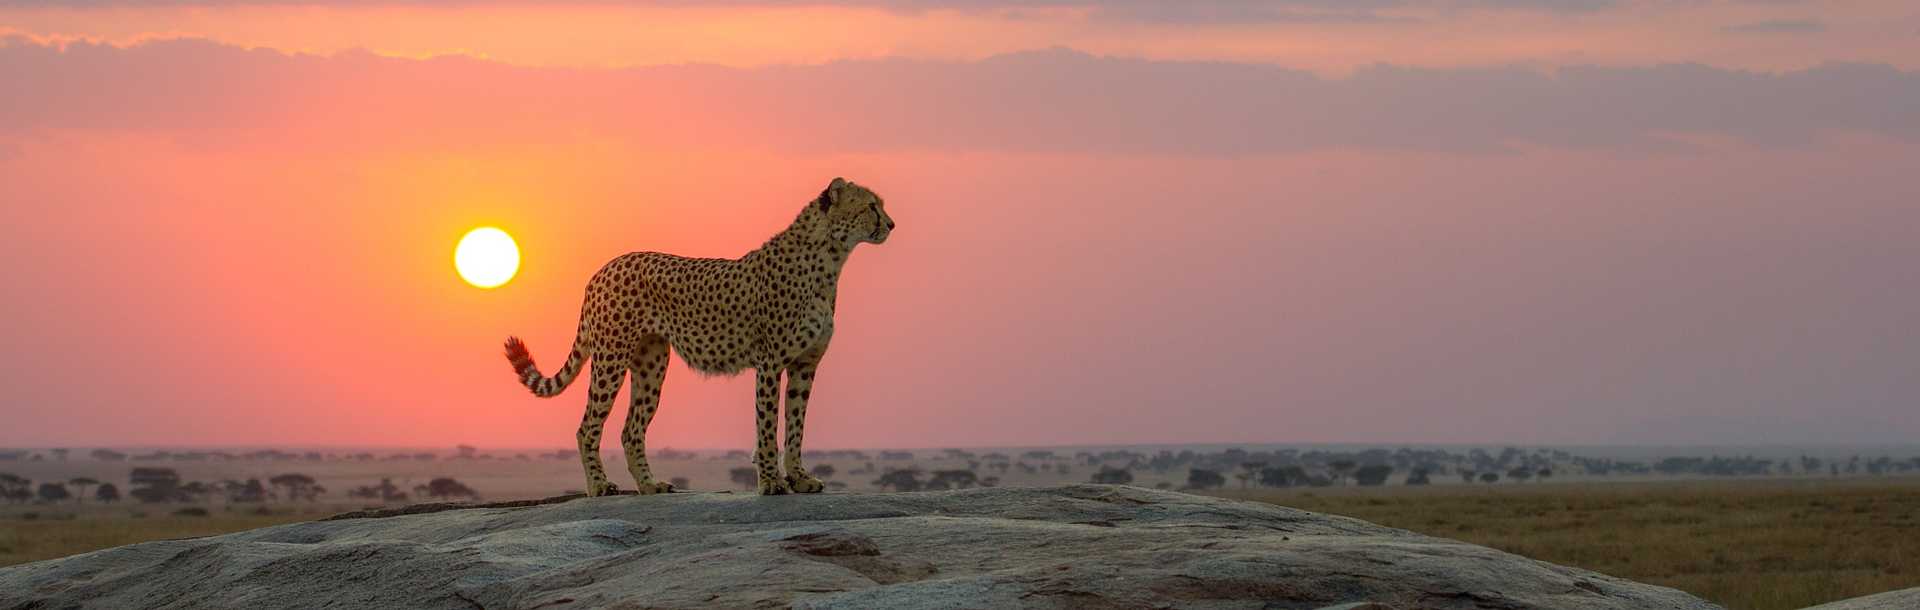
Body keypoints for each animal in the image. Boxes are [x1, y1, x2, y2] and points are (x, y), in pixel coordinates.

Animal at [510, 177, 898, 494]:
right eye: (871, 206)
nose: (891, 225)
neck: (829, 259)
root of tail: (604, 268)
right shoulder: (770, 363)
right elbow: (767, 424)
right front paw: (771, 483)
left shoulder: (805, 365)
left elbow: (796, 424)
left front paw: (800, 478)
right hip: (611, 357)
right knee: (588, 426)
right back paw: (599, 486)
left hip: (652, 364)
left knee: (631, 428)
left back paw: (650, 485)